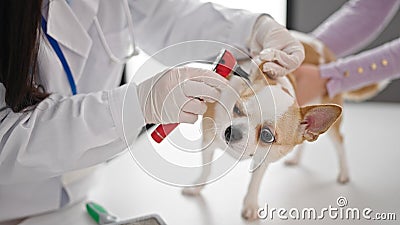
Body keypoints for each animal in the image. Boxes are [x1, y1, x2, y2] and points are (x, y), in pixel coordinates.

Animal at [182, 32, 384, 221]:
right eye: (237, 109)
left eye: (266, 136)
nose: (231, 131)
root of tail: (327, 51)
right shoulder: (209, 140)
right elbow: (206, 169)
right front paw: (197, 187)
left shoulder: (264, 158)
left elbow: (255, 182)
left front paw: (250, 205)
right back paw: (296, 159)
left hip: (332, 126)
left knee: (339, 141)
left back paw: (344, 173)